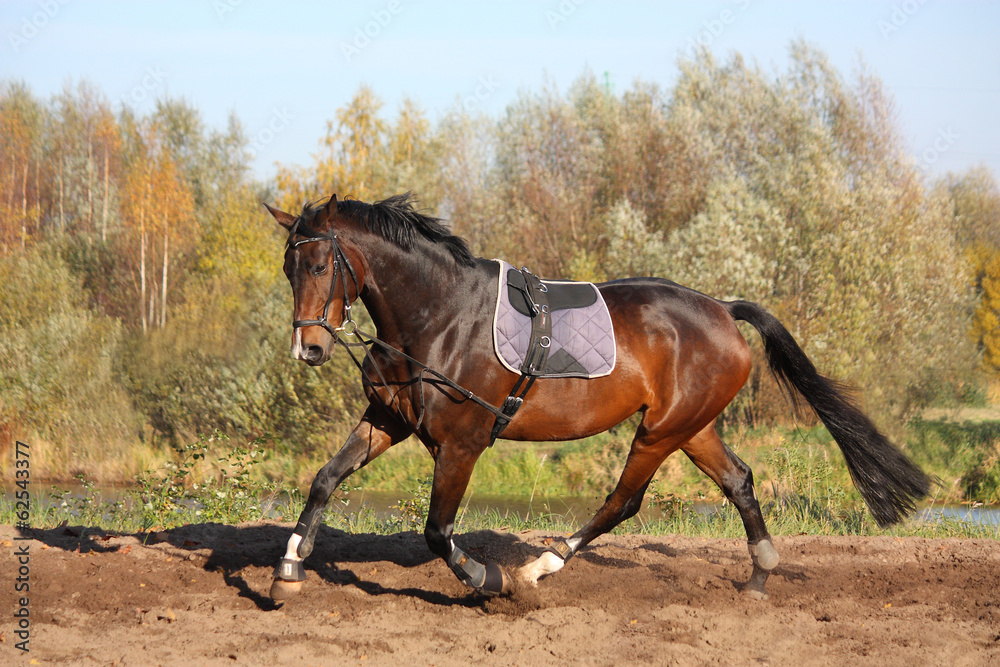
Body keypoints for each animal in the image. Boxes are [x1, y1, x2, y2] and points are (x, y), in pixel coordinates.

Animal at [263, 192, 931, 601]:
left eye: (321, 265)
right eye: (289, 270)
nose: (309, 350)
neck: (437, 318)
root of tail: (721, 308)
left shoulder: (462, 444)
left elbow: (437, 530)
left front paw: (490, 579)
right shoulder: (387, 420)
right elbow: (324, 478)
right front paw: (289, 568)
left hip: (660, 431)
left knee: (623, 502)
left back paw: (542, 566)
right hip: (692, 427)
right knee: (738, 480)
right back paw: (759, 577)